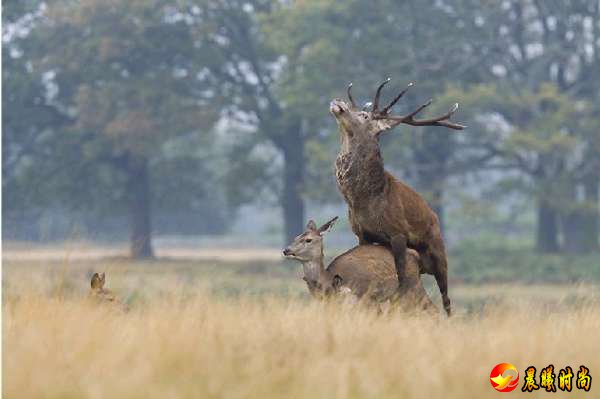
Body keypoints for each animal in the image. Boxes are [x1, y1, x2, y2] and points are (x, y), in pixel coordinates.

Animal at [282, 217, 436, 314]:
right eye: (296, 237)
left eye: (308, 240)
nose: (286, 250)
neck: (329, 282)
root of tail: (415, 255)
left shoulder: (365, 297)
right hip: (396, 295)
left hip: (413, 286)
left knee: (432, 308)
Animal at [330, 79, 462, 316]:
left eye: (364, 115)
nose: (338, 101)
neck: (362, 200)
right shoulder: (361, 233)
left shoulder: (398, 232)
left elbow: (401, 278)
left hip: (439, 250)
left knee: (446, 299)